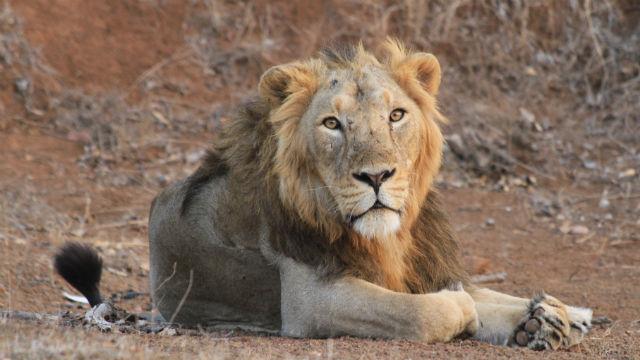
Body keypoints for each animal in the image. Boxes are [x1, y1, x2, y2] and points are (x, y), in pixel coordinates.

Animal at [53, 40, 592, 352]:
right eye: (332, 124)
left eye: (396, 115)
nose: (376, 176)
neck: (385, 239)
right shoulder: (310, 299)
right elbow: (428, 310)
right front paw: (470, 313)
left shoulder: (422, 267)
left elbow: (484, 295)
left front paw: (542, 319)